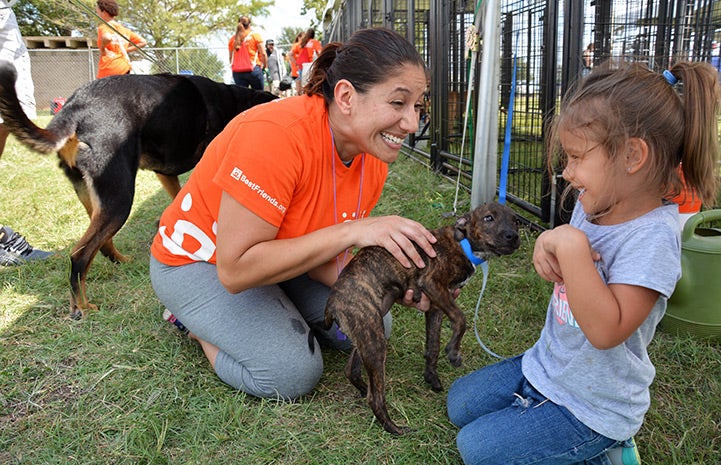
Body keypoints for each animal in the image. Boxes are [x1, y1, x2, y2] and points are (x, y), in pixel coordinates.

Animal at [0, 64, 278, 320]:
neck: (233, 102)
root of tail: (74, 108)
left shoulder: (165, 173)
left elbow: (177, 199)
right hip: (120, 197)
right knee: (80, 253)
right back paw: (83, 306)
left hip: (95, 196)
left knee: (101, 243)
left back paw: (120, 263)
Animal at [320, 201, 516, 434]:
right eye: (488, 218)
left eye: (515, 220)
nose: (513, 236)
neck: (463, 243)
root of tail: (332, 303)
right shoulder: (432, 284)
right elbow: (461, 319)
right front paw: (454, 353)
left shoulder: (436, 305)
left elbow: (433, 345)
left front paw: (431, 376)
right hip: (374, 338)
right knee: (375, 398)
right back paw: (395, 429)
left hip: (369, 329)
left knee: (352, 370)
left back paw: (363, 390)